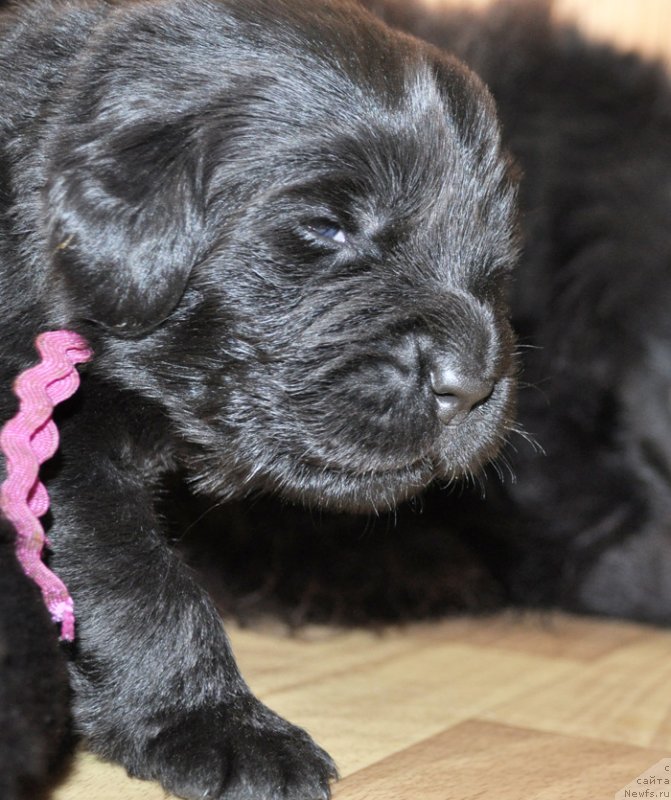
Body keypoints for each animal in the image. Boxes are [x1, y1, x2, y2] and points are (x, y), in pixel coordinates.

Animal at [0, 1, 520, 800]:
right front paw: (220, 725)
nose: (472, 384)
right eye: (326, 227)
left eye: (497, 258)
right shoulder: (54, 449)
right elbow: (142, 586)